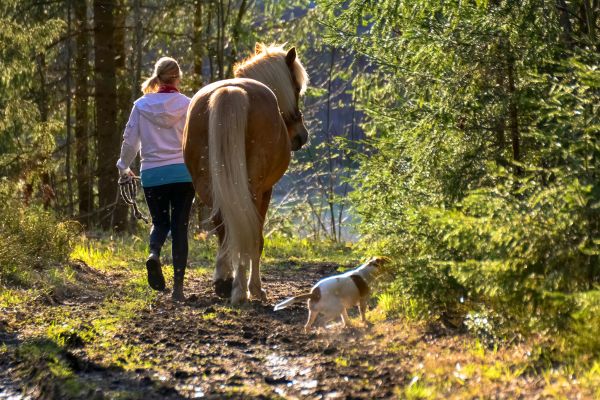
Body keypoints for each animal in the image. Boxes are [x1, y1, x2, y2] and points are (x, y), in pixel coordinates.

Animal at [183, 43, 310, 304]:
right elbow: (257, 239)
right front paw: (256, 289)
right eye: (296, 87)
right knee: (246, 232)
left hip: (209, 185)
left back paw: (224, 283)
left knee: (225, 225)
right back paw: (242, 290)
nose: (300, 136)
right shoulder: (266, 191)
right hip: (251, 187)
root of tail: (231, 91)